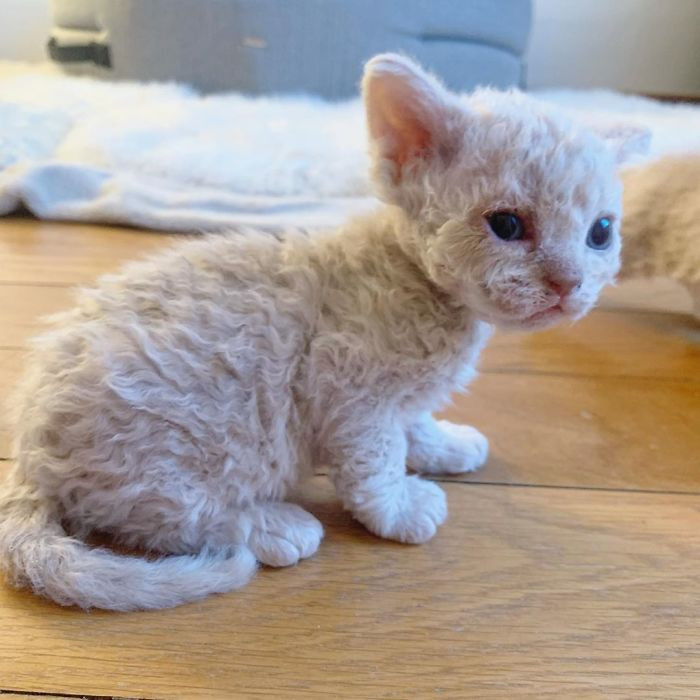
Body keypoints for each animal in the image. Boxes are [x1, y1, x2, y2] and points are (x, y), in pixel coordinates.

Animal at [0, 54, 652, 608]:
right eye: (508, 225)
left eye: (600, 233)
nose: (569, 284)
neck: (422, 290)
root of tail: (28, 455)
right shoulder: (349, 391)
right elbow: (375, 464)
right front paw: (400, 508)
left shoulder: (395, 395)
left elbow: (414, 421)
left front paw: (442, 444)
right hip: (189, 447)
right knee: (168, 516)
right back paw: (274, 525)